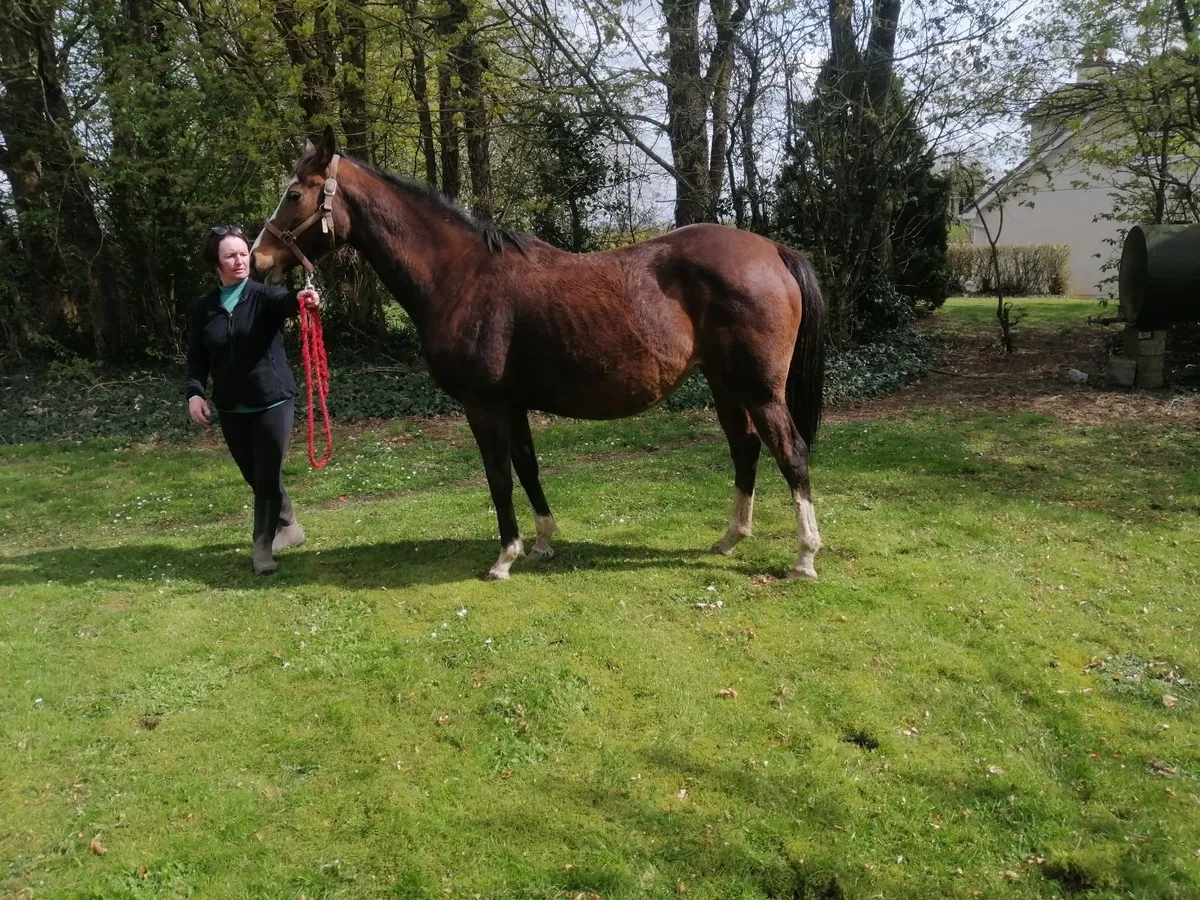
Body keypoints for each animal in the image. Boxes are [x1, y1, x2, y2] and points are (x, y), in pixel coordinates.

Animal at [252, 125, 827, 582]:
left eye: (294, 193)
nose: (258, 259)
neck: (460, 276)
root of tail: (774, 251)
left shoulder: (483, 405)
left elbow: (499, 476)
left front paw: (505, 557)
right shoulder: (512, 404)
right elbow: (527, 467)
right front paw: (544, 542)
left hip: (759, 390)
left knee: (791, 453)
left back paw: (804, 557)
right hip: (726, 384)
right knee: (745, 449)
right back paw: (730, 539)